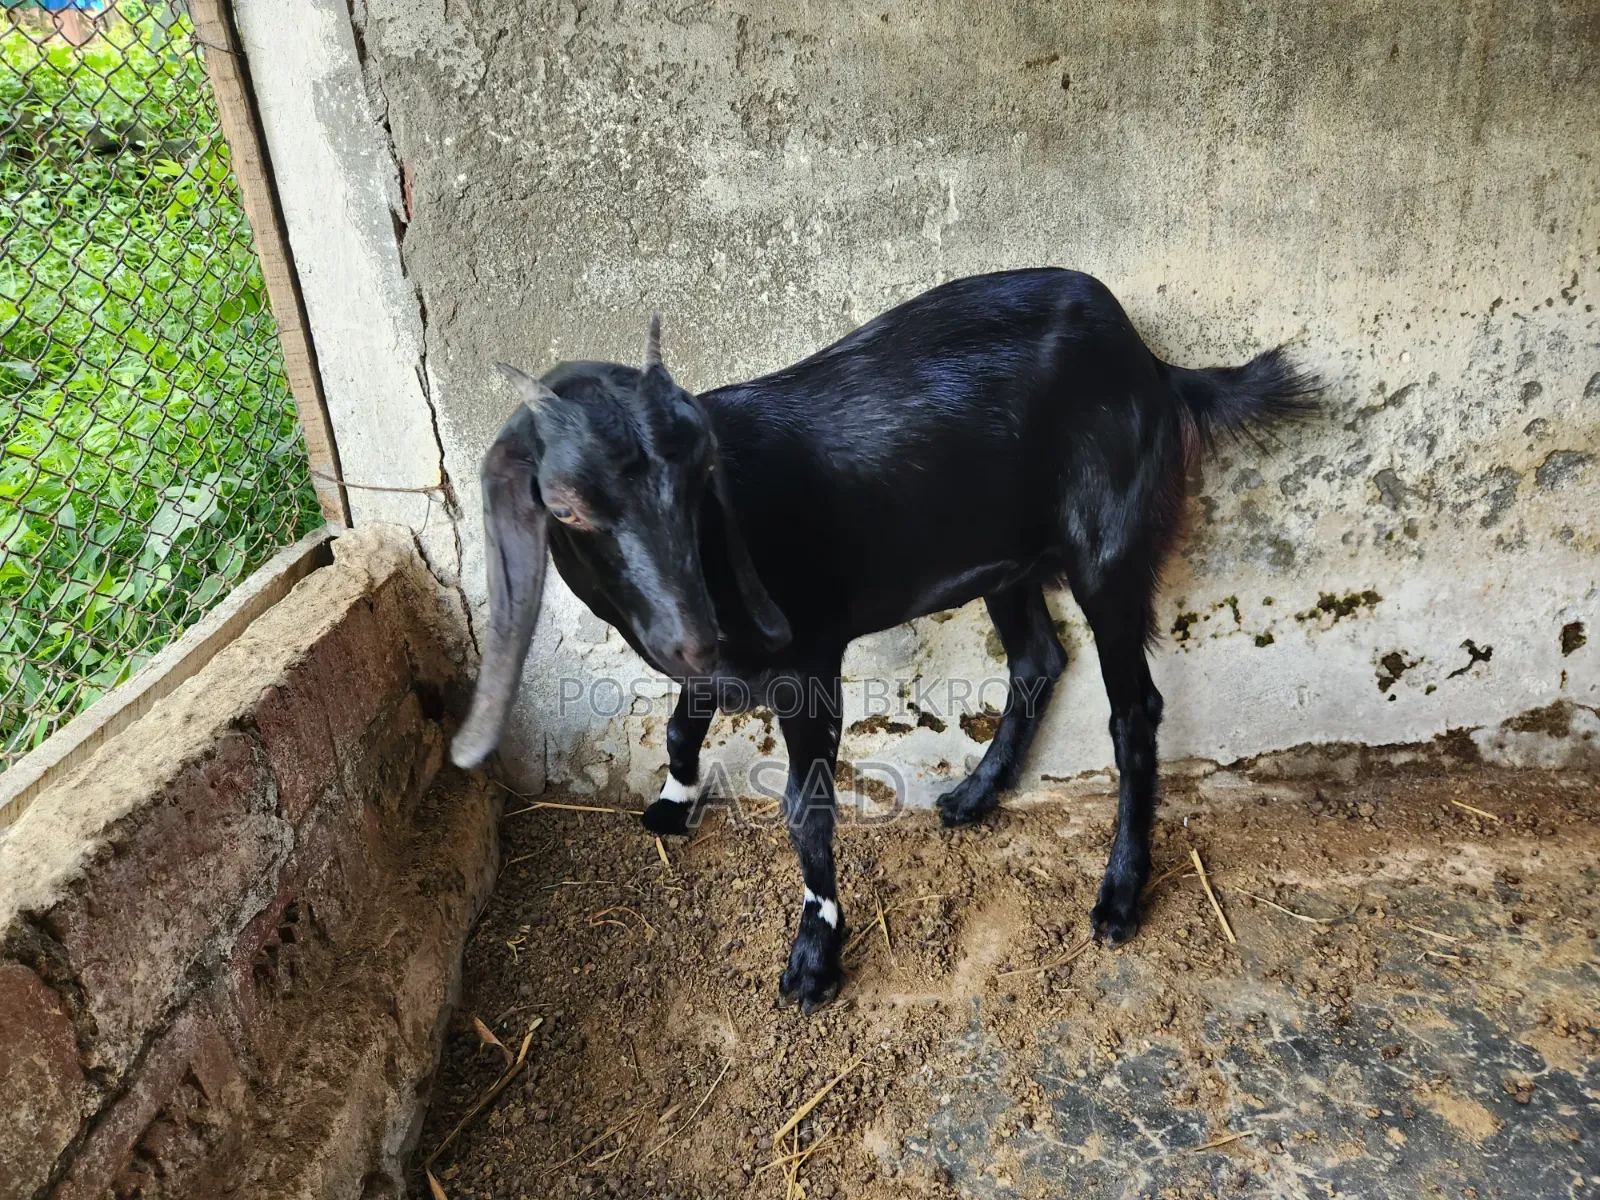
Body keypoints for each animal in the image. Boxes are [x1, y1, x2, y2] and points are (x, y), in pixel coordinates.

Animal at [452, 268, 1318, 1013]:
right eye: (565, 506)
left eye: (701, 480)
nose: (694, 636)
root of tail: (1151, 360)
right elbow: (678, 722)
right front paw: (673, 801)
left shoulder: (806, 663)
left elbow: (806, 806)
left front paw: (814, 956)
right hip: (1003, 557)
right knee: (1039, 659)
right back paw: (974, 793)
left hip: (1108, 550)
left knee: (1133, 709)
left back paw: (1120, 893)